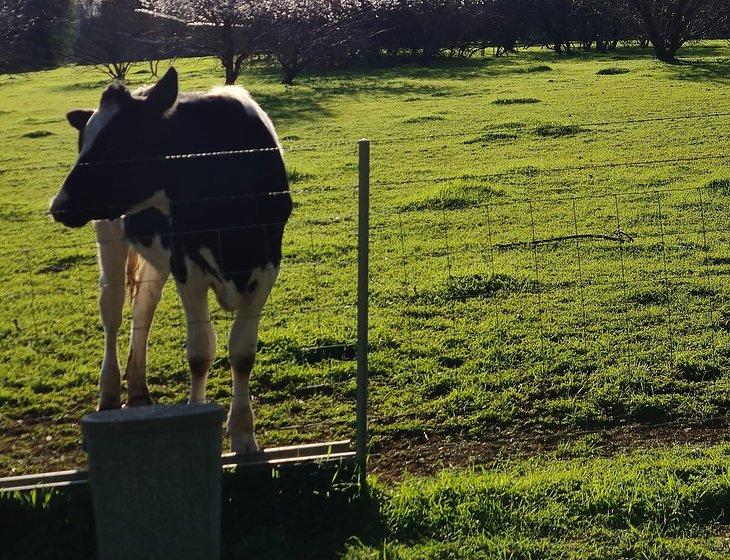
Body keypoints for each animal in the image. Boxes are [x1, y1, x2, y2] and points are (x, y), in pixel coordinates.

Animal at [47, 69, 292, 456]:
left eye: (115, 145)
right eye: (82, 143)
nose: (58, 205)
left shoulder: (267, 267)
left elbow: (242, 352)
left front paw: (242, 435)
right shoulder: (186, 267)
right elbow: (200, 351)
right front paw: (198, 415)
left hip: (156, 259)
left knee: (143, 310)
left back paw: (138, 389)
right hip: (111, 236)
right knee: (112, 313)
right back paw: (109, 392)